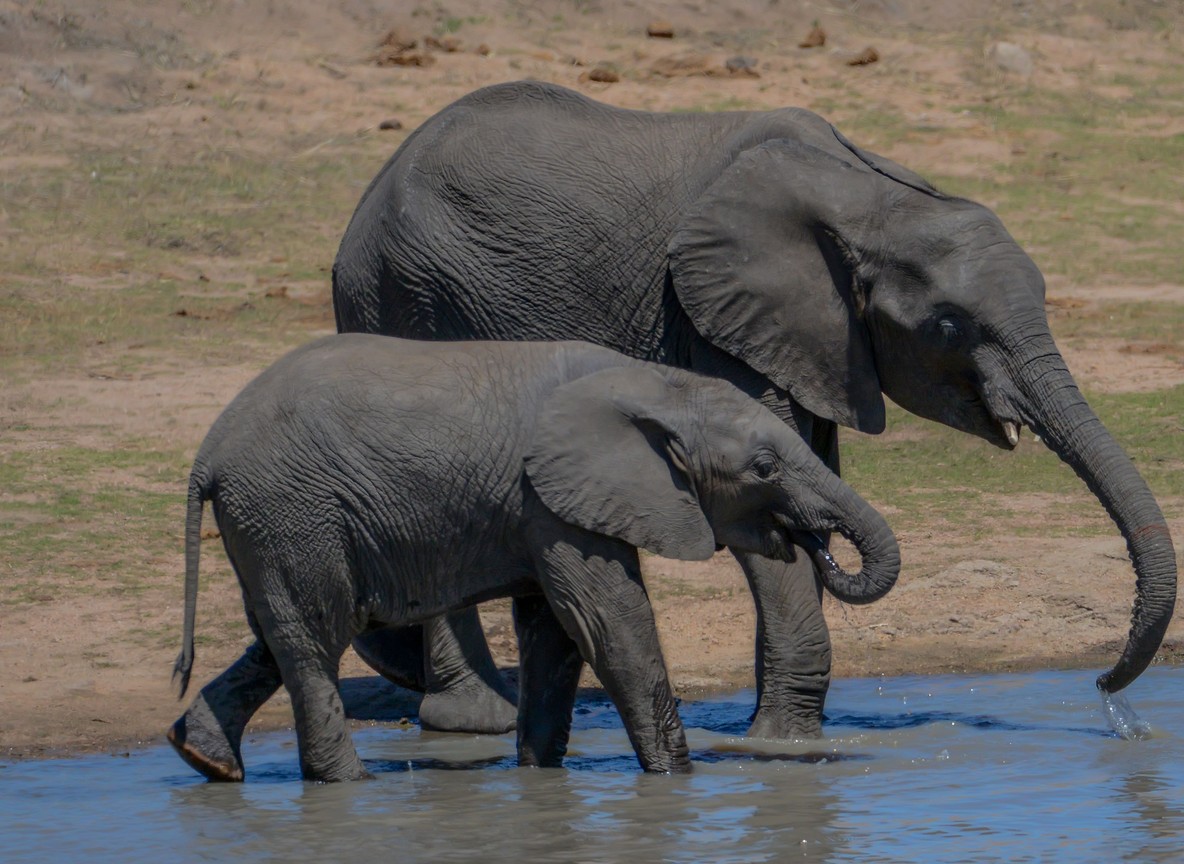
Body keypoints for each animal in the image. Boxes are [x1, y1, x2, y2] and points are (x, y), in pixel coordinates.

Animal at [167, 334, 901, 781]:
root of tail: (208, 455)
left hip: (276, 521)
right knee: (318, 635)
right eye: (764, 468)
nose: (820, 548)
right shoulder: (550, 497)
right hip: (293, 509)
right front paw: (676, 779)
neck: (655, 383)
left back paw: (206, 760)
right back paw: (349, 784)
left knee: (282, 633)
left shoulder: (545, 505)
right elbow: (608, 624)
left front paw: (538, 778)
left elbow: (556, 632)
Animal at [331, 80, 1176, 739]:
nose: (1102, 686)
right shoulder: (715, 315)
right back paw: (474, 721)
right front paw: (784, 749)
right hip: (408, 294)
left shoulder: (815, 340)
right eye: (948, 326)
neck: (871, 198)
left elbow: (808, 470)